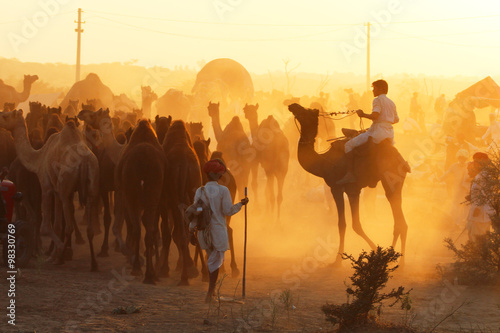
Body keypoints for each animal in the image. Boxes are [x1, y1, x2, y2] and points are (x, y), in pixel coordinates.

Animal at [0, 110, 100, 272]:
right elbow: (57, 225)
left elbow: (46, 225)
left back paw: (61, 258)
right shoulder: (57, 191)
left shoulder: (47, 186)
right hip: (92, 183)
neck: (39, 157)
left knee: (68, 226)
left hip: (66, 185)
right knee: (89, 227)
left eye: (6, 116)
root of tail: (84, 161)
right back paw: (93, 264)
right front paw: (54, 254)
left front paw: (57, 253)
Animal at [115, 119, 166, 282]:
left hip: (132, 193)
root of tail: (143, 160)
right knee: (147, 228)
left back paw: (137, 267)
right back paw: (150, 274)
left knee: (137, 227)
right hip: (152, 190)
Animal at [158, 119, 201, 282]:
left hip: (173, 198)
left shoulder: (164, 202)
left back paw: (184, 274)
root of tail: (183, 165)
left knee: (177, 232)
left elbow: (168, 232)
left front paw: (164, 269)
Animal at [288, 104, 408, 264]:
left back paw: (395, 259)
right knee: (400, 220)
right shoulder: (353, 190)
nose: (293, 105)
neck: (323, 163)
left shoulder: (338, 187)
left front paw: (338, 260)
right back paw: (395, 258)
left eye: (306, 111)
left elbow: (345, 224)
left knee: (398, 218)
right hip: (395, 182)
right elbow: (353, 224)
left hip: (390, 178)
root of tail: (401, 160)